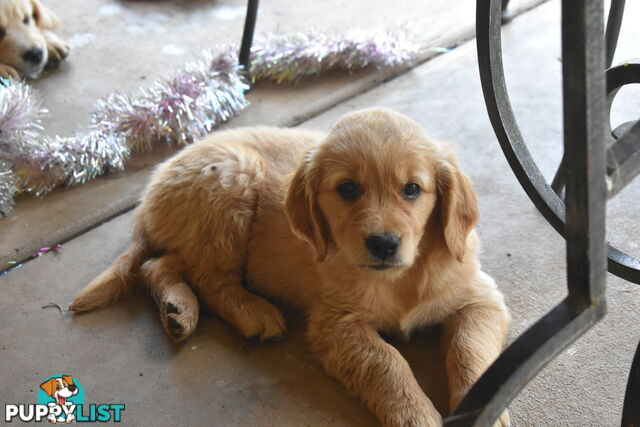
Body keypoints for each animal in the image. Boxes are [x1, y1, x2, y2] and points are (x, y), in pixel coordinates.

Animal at [70, 110, 510, 427]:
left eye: (413, 189)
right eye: (347, 189)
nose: (384, 244)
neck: (401, 278)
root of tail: (150, 190)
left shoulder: (479, 298)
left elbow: (470, 349)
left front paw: (487, 403)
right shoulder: (336, 324)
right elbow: (388, 363)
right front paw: (416, 415)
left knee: (157, 265)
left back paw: (178, 309)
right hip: (234, 178)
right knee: (207, 278)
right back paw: (249, 312)